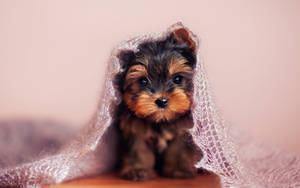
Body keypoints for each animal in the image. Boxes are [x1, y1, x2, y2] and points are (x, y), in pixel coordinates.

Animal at [114, 27, 202, 181]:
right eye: (143, 81)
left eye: (177, 79)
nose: (162, 101)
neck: (160, 120)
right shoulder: (134, 129)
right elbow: (138, 149)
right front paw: (138, 169)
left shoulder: (182, 131)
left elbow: (178, 149)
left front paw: (179, 169)